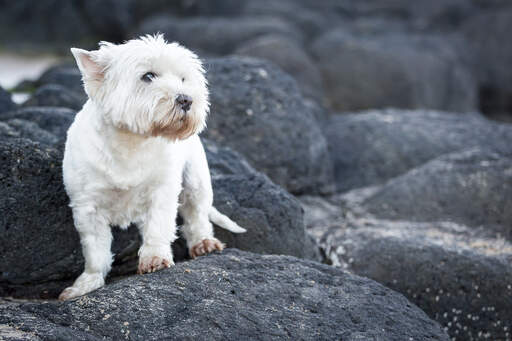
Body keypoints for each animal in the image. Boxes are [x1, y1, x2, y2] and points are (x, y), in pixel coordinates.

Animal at [58, 35, 246, 300]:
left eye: (183, 79)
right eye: (148, 76)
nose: (186, 99)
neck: (131, 142)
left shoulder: (162, 190)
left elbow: (159, 225)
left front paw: (154, 258)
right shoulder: (86, 206)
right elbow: (95, 250)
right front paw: (85, 285)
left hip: (196, 178)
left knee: (197, 212)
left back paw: (204, 243)